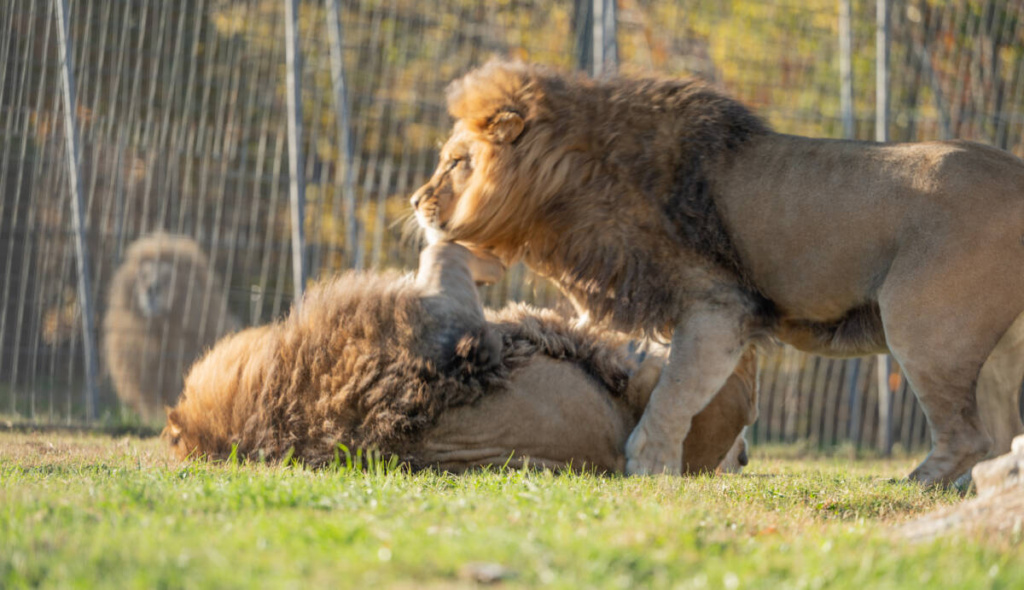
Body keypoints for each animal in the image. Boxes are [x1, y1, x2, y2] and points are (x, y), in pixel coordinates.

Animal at [410, 60, 1024, 485]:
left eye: (456, 162)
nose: (416, 202)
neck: (569, 190)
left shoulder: (720, 307)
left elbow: (676, 393)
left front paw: (649, 464)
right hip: (994, 352)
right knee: (997, 434)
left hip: (924, 328)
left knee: (971, 436)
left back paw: (912, 485)